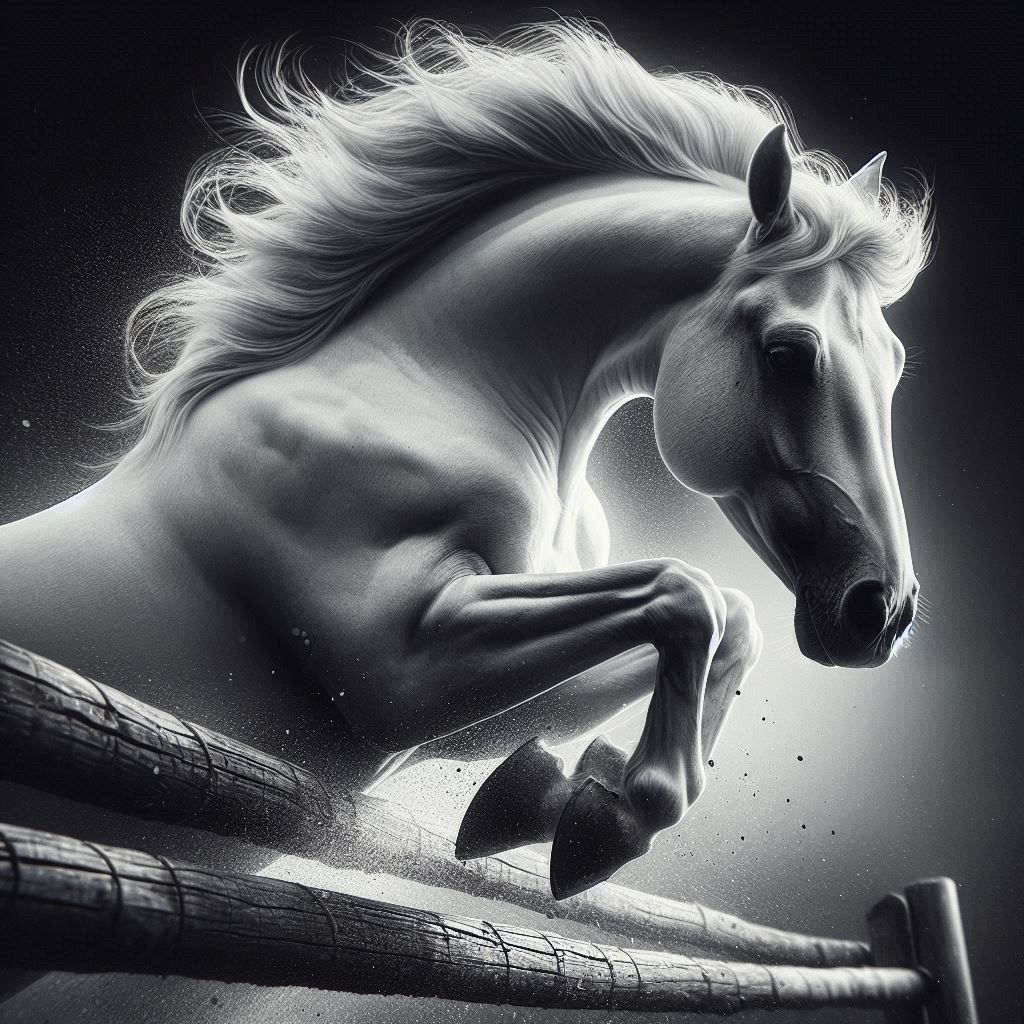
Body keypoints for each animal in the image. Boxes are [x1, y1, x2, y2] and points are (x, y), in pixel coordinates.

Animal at [0, 22, 931, 898]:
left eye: (895, 361)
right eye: (789, 353)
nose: (879, 612)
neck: (424, 391)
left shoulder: (439, 717)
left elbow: (727, 620)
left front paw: (551, 795)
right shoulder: (396, 675)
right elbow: (687, 595)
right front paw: (609, 820)